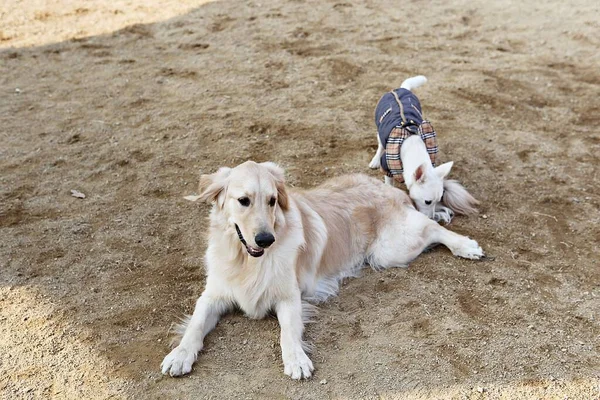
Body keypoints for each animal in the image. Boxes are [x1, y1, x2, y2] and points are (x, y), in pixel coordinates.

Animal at [162, 161, 486, 380]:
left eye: (272, 201)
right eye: (243, 201)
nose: (266, 239)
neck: (246, 260)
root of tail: (388, 187)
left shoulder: (289, 298)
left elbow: (288, 332)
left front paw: (296, 359)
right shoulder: (213, 295)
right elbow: (195, 325)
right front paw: (179, 355)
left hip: (390, 250)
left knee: (431, 226)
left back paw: (465, 245)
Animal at [370, 76, 478, 223]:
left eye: (439, 200)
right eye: (427, 202)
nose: (432, 218)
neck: (412, 143)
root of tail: (401, 89)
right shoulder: (387, 166)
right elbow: (389, 184)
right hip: (380, 132)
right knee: (380, 145)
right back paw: (374, 161)